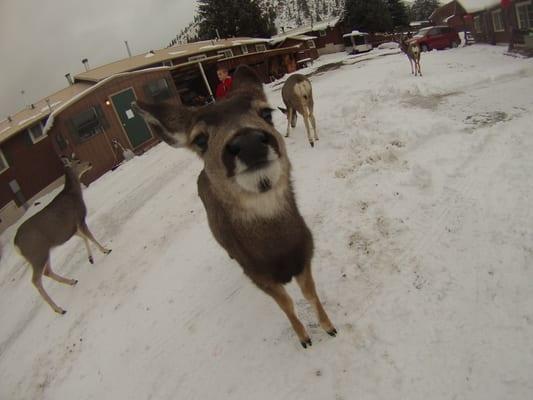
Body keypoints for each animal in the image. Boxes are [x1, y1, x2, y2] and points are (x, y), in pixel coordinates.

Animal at [14, 155, 111, 314]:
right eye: (78, 162)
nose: (90, 163)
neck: (74, 193)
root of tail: (16, 245)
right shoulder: (79, 218)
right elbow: (90, 236)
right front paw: (106, 250)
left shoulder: (71, 229)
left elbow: (84, 237)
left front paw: (91, 258)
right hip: (37, 253)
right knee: (35, 280)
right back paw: (59, 309)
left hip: (44, 252)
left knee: (47, 272)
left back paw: (72, 281)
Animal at [131, 65, 334, 346]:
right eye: (200, 139)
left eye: (266, 113)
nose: (249, 142)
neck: (279, 251)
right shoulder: (256, 274)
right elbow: (287, 305)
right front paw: (304, 338)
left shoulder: (305, 252)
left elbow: (310, 294)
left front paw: (329, 326)